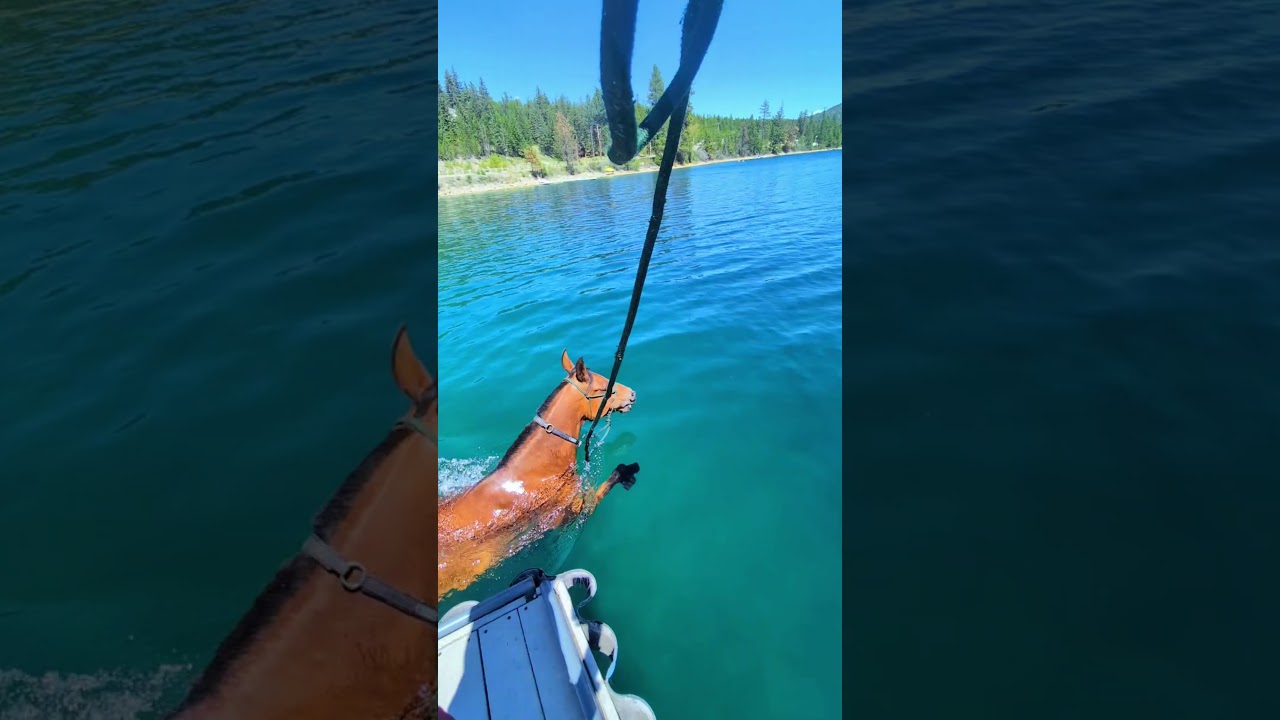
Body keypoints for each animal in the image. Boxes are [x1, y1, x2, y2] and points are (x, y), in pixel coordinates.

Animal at [437, 350, 637, 600]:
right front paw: (628, 472)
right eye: (604, 387)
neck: (538, 470)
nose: (632, 394)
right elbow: (604, 488)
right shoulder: (573, 510)